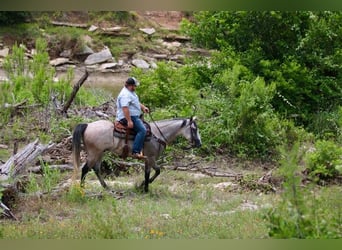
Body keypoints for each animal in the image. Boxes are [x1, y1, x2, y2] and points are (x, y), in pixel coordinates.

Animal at [71, 116, 200, 191]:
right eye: (194, 129)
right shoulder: (150, 158)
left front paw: (142, 185)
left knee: (96, 169)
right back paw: (82, 188)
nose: (199, 143)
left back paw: (106, 187)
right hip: (94, 153)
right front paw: (145, 188)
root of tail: (88, 125)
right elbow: (153, 172)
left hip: (100, 153)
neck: (157, 134)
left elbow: (152, 172)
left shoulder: (148, 159)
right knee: (85, 169)